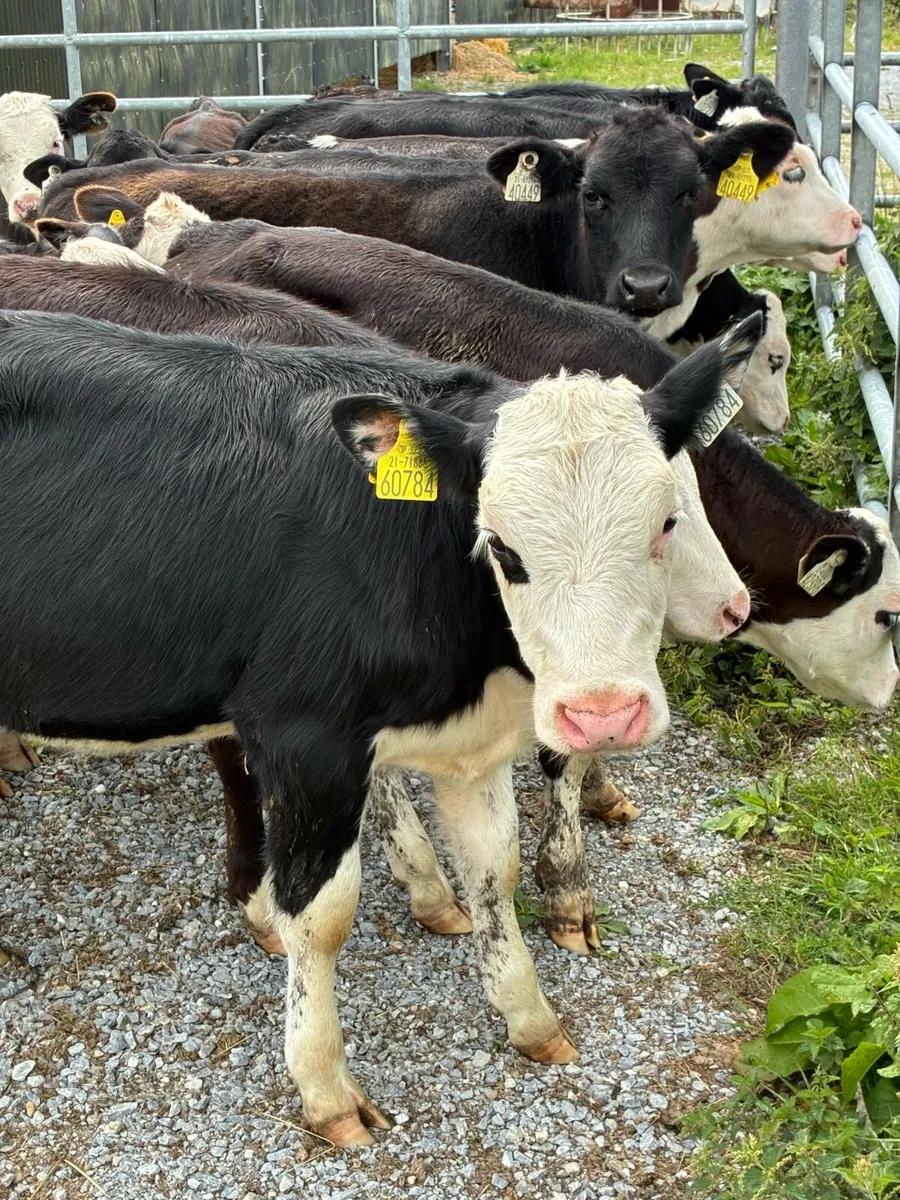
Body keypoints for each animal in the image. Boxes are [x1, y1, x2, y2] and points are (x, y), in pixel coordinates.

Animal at [0, 307, 758, 1144]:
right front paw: (325, 1086)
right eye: (501, 545)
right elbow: (322, 916)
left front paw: (531, 1019)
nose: (602, 713)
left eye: (667, 522)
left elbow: (493, 873)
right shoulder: (306, 740)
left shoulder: (472, 748)